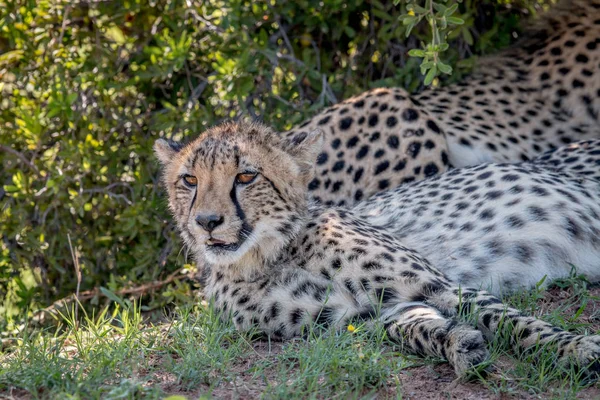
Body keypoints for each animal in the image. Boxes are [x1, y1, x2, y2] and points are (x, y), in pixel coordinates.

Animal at [155, 122, 600, 378]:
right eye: (190, 180)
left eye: (246, 176)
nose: (207, 222)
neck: (273, 253)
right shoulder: (354, 316)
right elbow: (414, 326)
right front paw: (458, 343)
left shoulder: (440, 285)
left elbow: (515, 321)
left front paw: (577, 349)